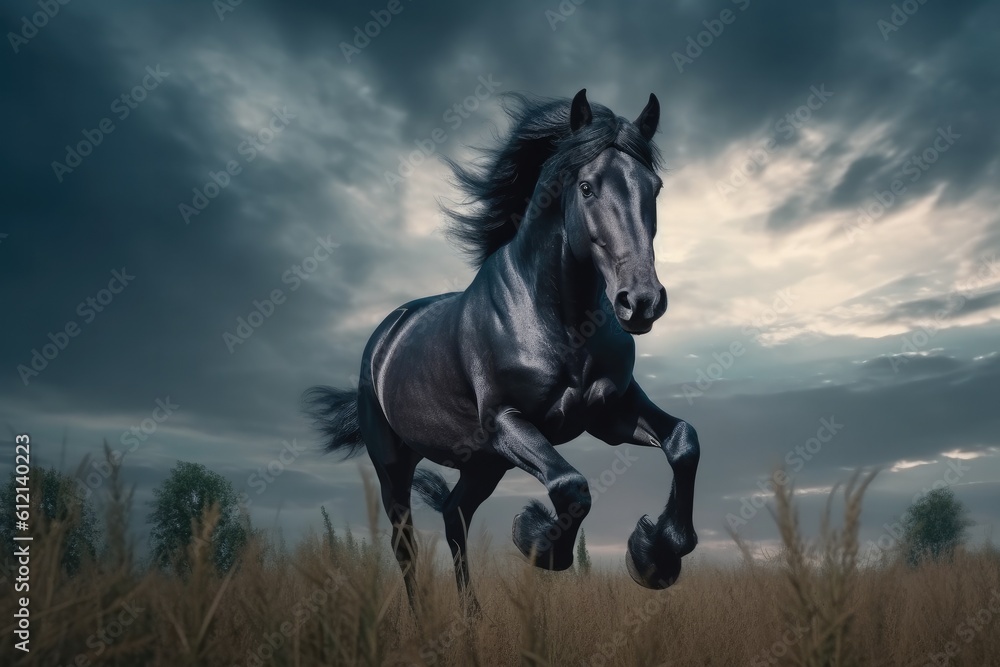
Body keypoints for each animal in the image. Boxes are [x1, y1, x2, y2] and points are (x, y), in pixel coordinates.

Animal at [304, 89, 700, 614]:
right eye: (587, 187)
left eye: (654, 188)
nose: (640, 301)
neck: (559, 318)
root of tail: (385, 336)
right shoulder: (507, 421)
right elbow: (571, 486)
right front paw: (536, 537)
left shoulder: (610, 414)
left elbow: (683, 442)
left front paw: (657, 555)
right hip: (394, 463)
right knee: (404, 541)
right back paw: (424, 620)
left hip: (484, 464)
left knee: (455, 516)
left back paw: (472, 618)